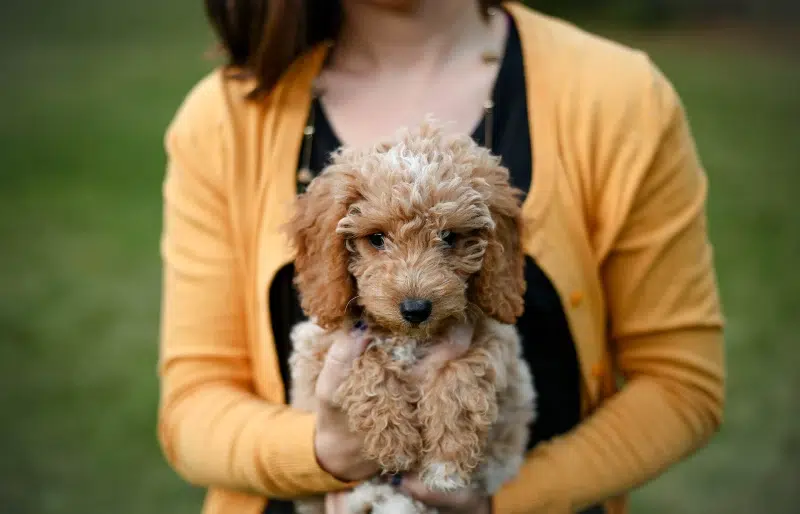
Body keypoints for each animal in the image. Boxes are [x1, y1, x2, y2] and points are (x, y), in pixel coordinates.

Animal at [284, 121, 536, 512]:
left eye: (449, 237)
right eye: (376, 239)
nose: (416, 309)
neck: (409, 338)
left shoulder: (496, 344)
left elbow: (463, 374)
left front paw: (445, 463)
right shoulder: (320, 348)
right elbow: (366, 367)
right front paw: (395, 441)